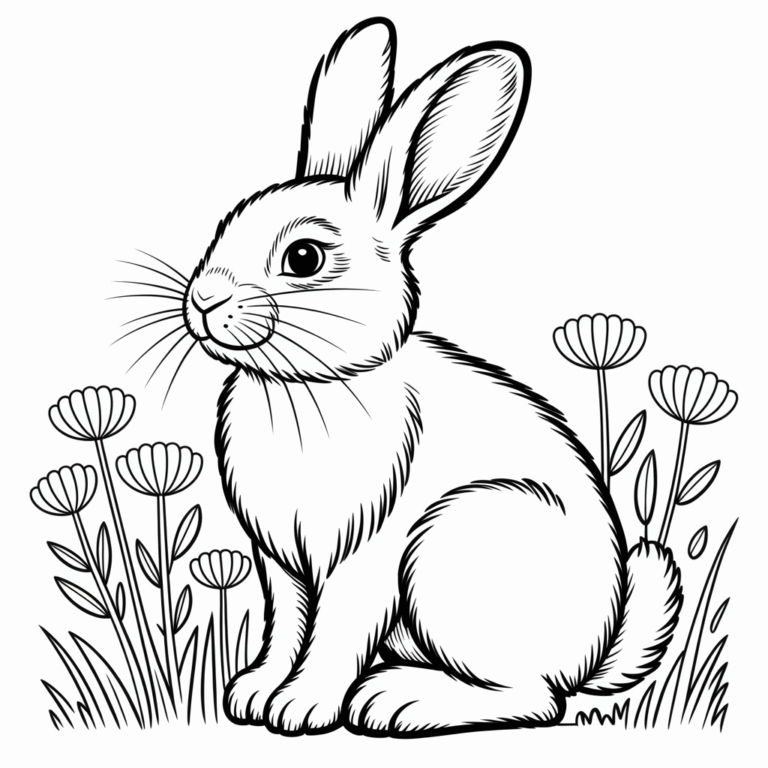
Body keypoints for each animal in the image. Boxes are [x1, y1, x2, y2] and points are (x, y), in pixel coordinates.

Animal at [180, 17, 682, 736]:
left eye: (303, 257)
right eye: (226, 224)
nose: (203, 300)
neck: (309, 386)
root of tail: (595, 648)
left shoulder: (369, 555)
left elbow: (334, 633)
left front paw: (302, 709)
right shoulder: (280, 563)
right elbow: (286, 628)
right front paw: (252, 695)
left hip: (456, 546)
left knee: (535, 699)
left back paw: (397, 701)